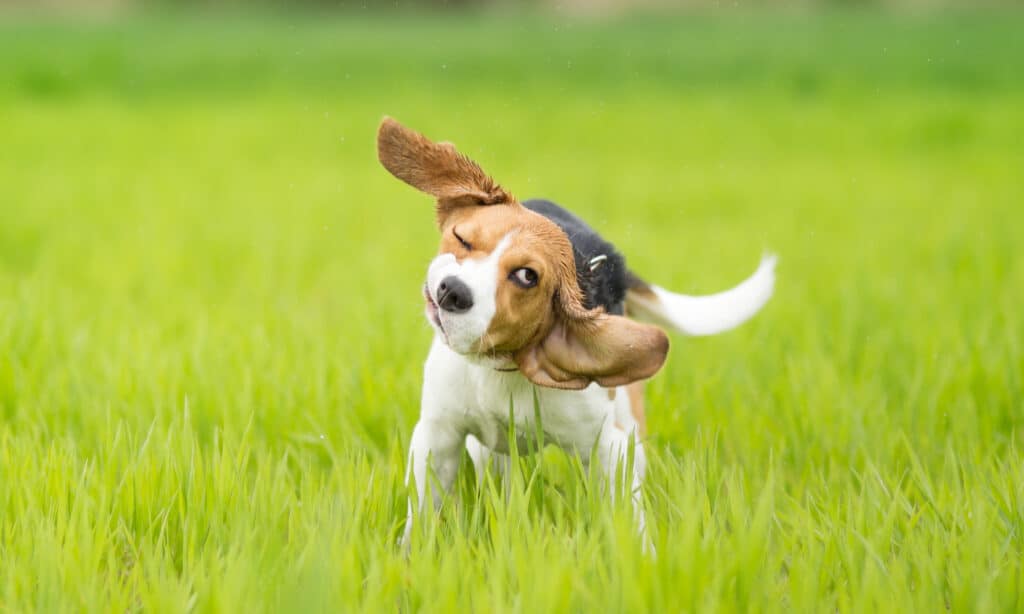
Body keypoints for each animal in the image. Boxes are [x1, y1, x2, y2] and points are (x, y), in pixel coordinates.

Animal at [376, 117, 774, 544]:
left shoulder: (611, 447)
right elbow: (422, 511)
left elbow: (628, 516)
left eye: (526, 276)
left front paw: (639, 555)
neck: (502, 367)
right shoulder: (438, 435)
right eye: (462, 238)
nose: (452, 292)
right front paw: (412, 554)